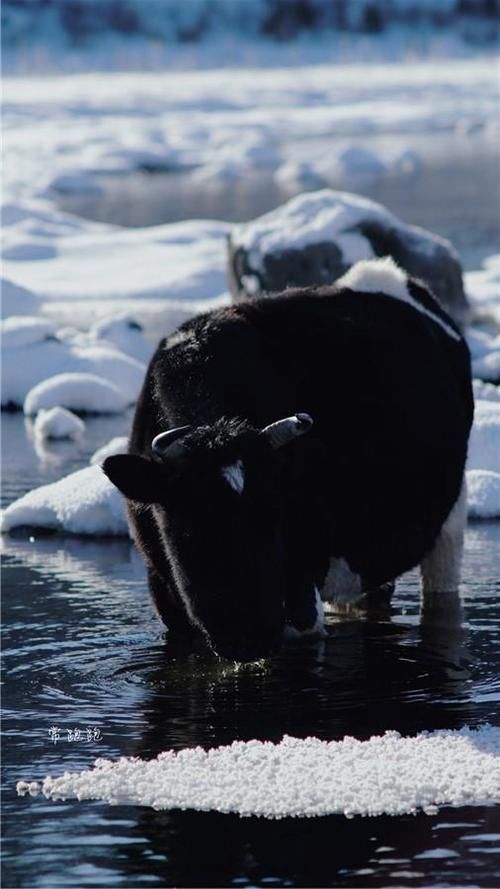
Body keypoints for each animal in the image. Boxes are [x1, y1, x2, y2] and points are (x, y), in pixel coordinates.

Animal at [102, 256, 472, 660]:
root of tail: (384, 273)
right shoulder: (165, 595)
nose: (249, 636)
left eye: (276, 515)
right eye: (188, 526)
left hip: (450, 519)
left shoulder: (301, 596)